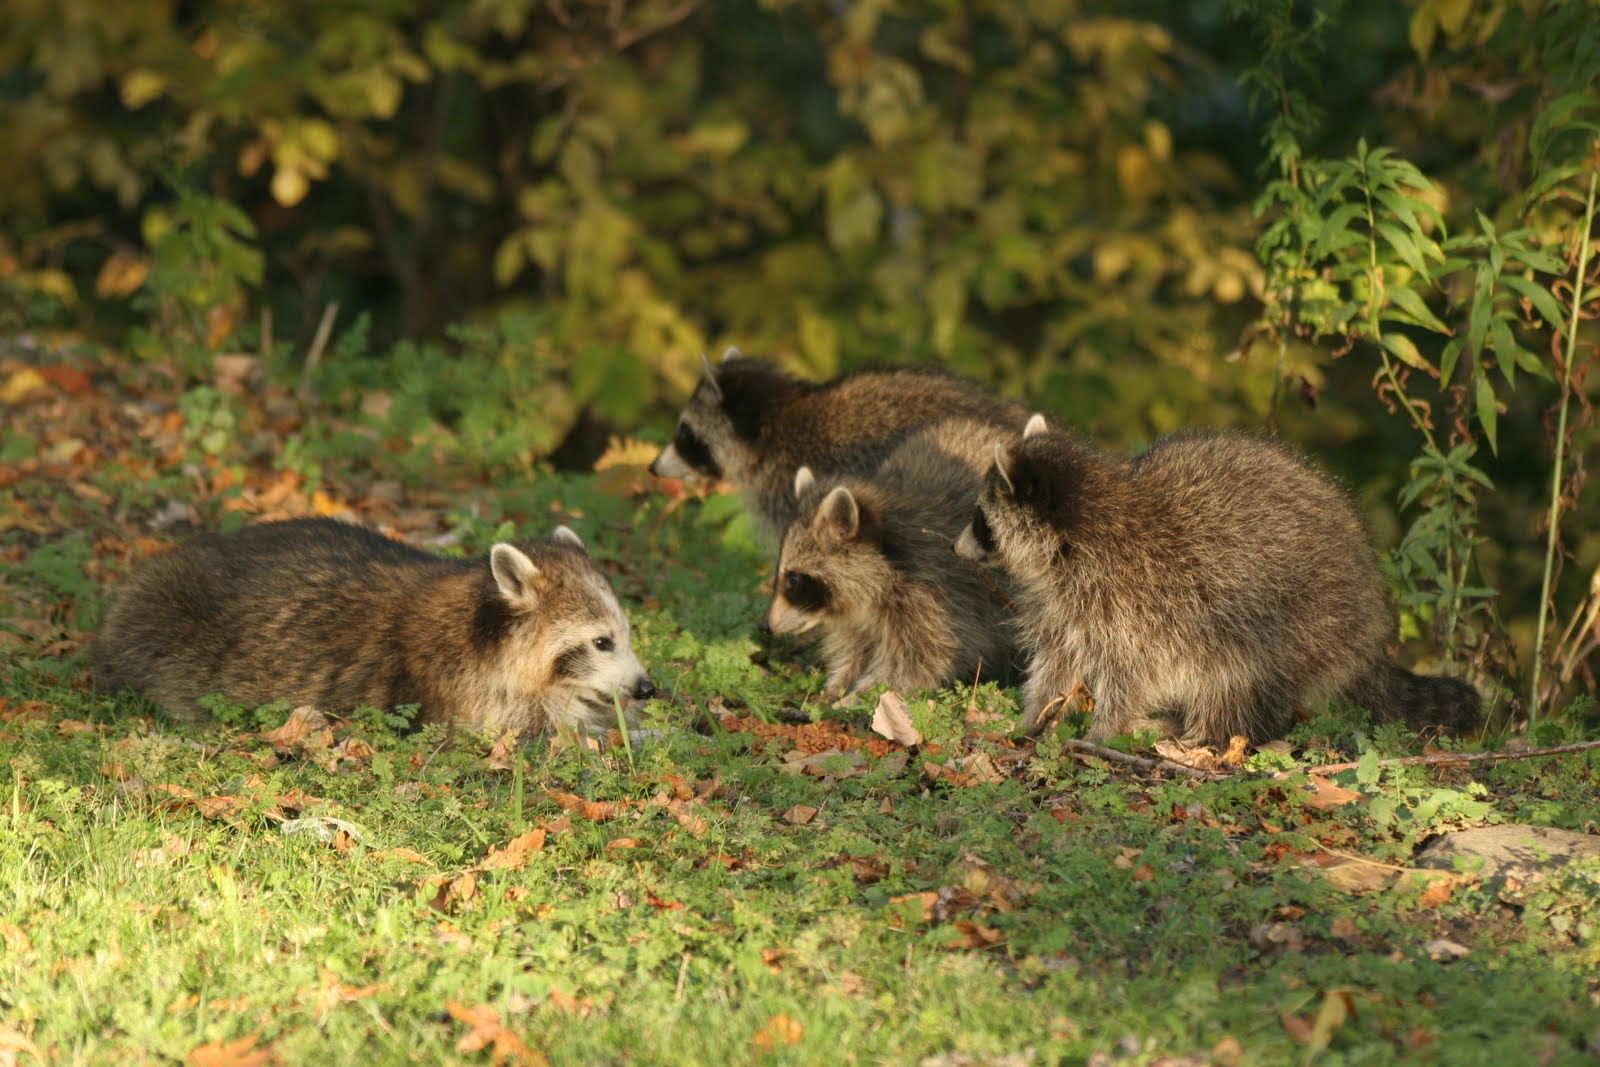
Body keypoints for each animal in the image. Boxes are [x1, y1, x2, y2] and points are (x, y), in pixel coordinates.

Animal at [761, 418, 1023, 697]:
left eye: (794, 579)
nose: (763, 625)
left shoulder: (936, 594)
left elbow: (921, 660)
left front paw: (860, 695)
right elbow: (857, 645)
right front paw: (838, 685)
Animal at [954, 416, 1481, 745]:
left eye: (981, 519)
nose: (956, 549)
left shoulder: (1137, 600)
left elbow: (1132, 673)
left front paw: (1106, 728)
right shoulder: (1065, 604)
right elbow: (1057, 661)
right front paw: (1033, 719)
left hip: (1292, 621)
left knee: (1237, 685)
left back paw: (1200, 736)